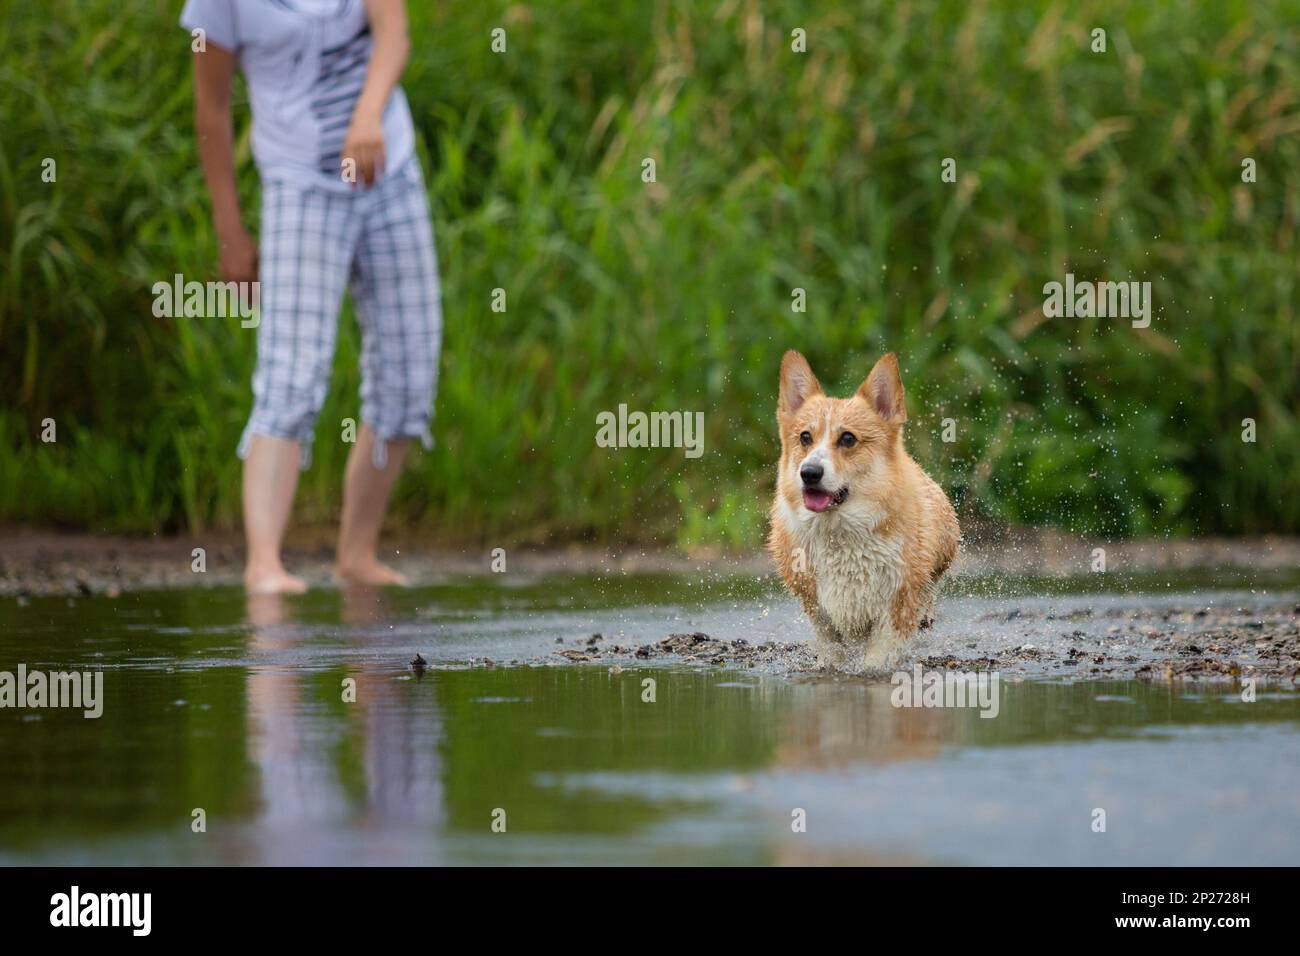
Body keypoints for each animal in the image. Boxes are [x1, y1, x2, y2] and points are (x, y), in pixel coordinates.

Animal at [764, 351, 961, 671]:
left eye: (847, 438)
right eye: (805, 437)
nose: (809, 473)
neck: (841, 533)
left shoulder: (899, 601)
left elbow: (878, 655)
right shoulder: (817, 605)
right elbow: (831, 648)